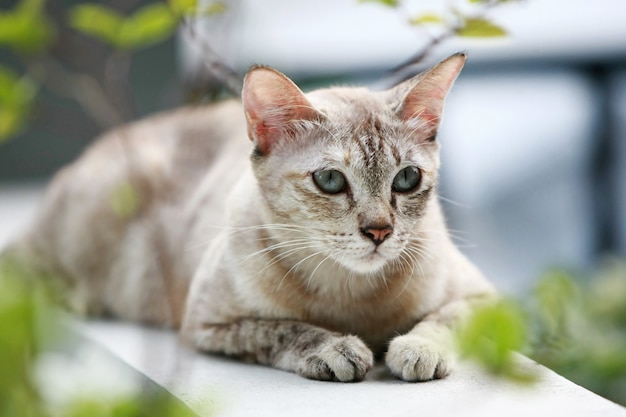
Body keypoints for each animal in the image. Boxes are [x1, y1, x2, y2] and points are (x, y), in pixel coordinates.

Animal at [4, 53, 492, 382]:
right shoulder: (207, 325)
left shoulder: (485, 299)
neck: (352, 295)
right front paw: (334, 347)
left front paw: (416, 348)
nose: (379, 232)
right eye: (330, 180)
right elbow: (283, 330)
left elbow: (446, 319)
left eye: (407, 178)